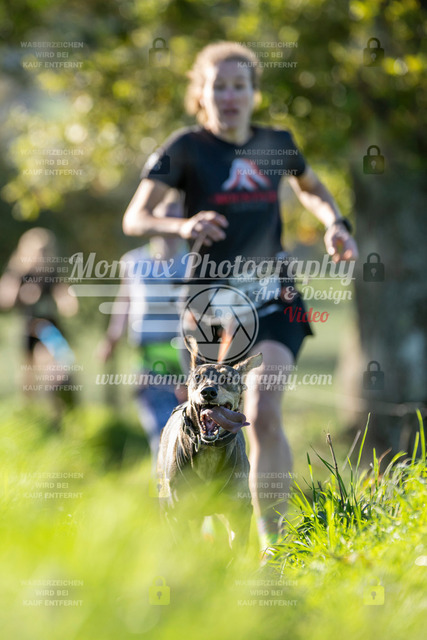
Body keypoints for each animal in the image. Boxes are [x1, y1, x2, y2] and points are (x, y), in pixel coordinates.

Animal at [156, 336, 262, 549]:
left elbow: (237, 545)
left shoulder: (239, 509)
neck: (208, 450)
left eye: (227, 379)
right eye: (198, 377)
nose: (208, 391)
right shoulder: (178, 510)